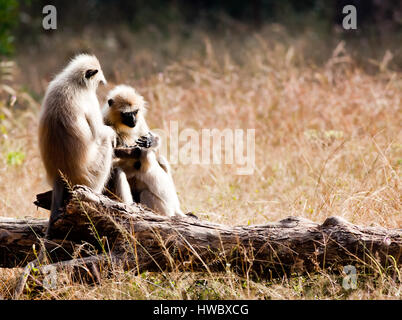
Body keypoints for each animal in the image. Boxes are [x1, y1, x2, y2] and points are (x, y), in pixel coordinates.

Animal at [103, 84, 186, 218]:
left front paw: (151, 142)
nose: (133, 120)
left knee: (159, 159)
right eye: (126, 114)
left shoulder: (140, 121)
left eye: (135, 112)